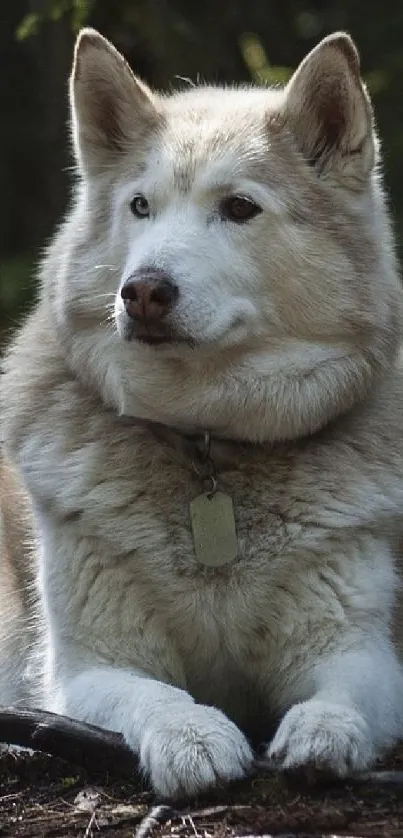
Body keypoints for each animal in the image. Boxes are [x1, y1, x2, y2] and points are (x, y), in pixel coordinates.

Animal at [2, 27, 403, 800]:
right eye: (140, 207)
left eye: (239, 208)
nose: (142, 292)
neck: (208, 444)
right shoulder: (90, 668)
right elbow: (155, 695)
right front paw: (192, 737)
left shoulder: (358, 649)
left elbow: (340, 697)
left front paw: (324, 733)